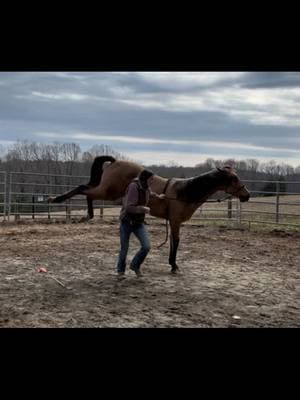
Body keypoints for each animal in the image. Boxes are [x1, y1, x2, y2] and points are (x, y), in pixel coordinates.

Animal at [48, 155, 251, 272]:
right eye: (234, 179)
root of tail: (115, 161)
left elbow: (173, 242)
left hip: (107, 191)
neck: (184, 192)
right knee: (84, 189)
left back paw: (85, 213)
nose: (247, 195)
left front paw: (172, 263)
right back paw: (60, 201)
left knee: (87, 191)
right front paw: (174, 265)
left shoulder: (174, 222)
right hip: (107, 191)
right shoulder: (175, 221)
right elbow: (176, 242)